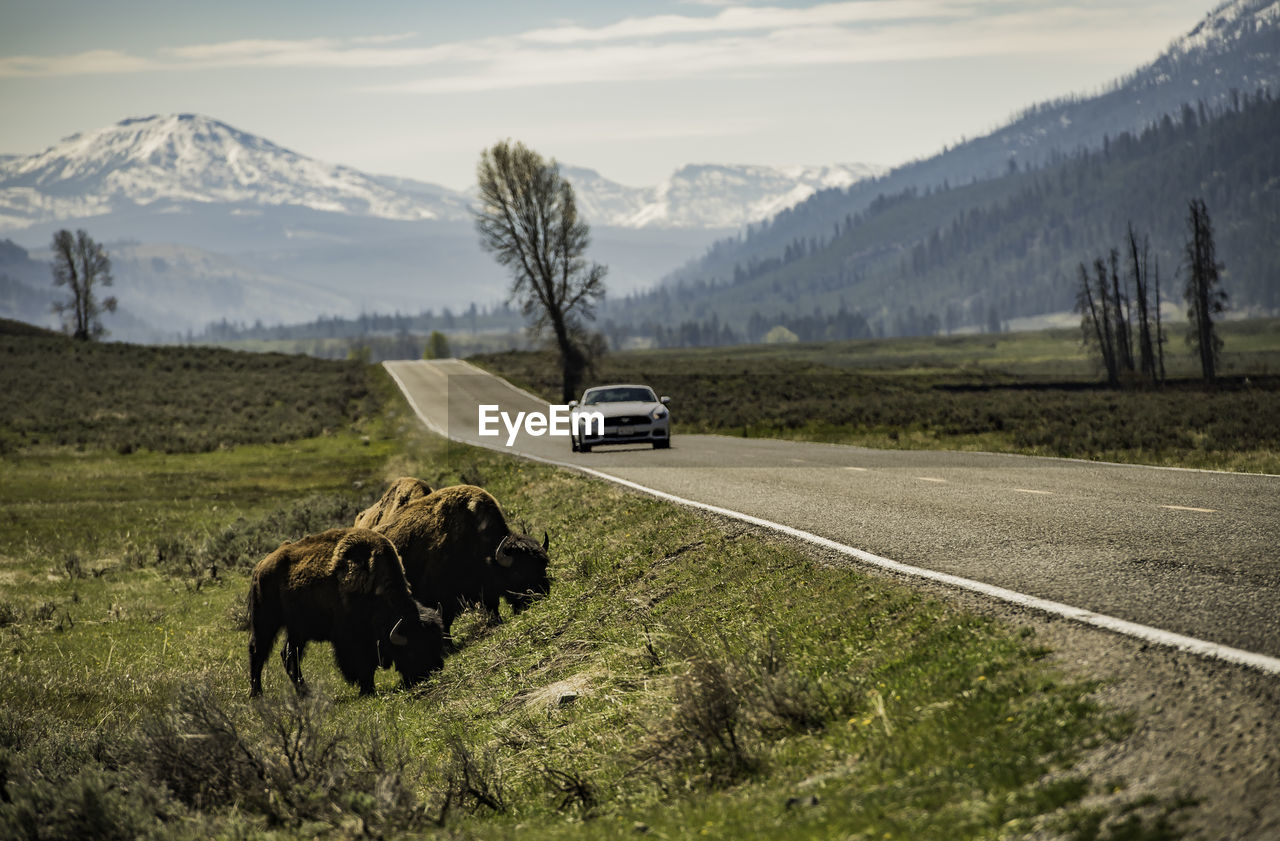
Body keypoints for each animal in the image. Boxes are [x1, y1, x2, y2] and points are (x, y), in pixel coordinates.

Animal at [248, 524, 445, 696]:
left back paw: (305, 692)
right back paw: (257, 694)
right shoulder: (351, 639)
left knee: (289, 655)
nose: (430, 675)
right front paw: (367, 690)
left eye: (437, 644)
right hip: (266, 621)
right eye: (412, 650)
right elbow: (363, 664)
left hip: (298, 629)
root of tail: (260, 566)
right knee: (258, 651)